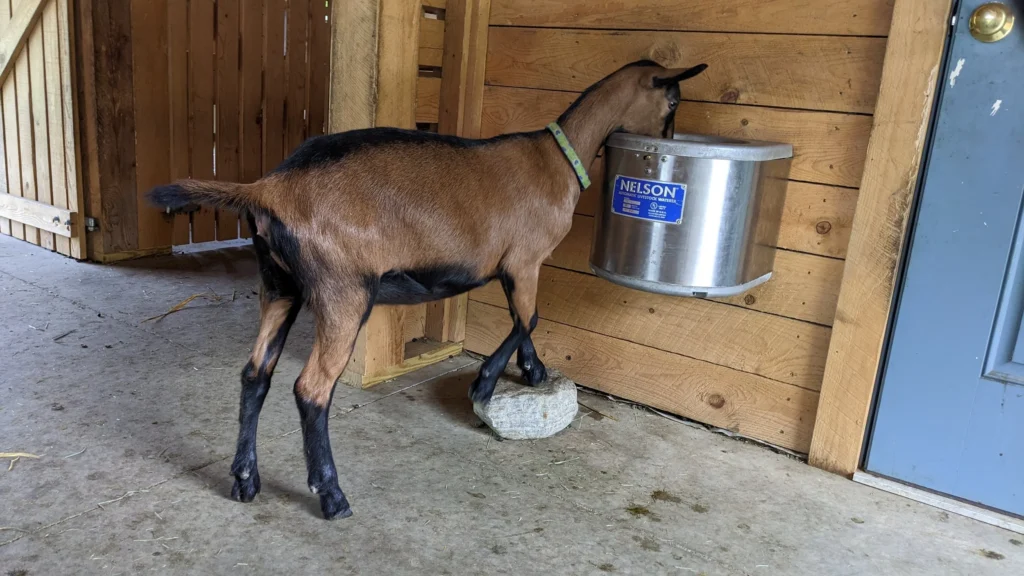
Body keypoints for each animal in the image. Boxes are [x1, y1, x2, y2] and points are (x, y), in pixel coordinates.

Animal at [147, 60, 708, 520]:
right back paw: (331, 495)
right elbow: (529, 317)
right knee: (311, 389)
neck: (556, 158)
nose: (670, 139)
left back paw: (245, 480)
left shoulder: (515, 268)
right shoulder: (524, 261)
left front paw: (532, 371)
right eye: (673, 100)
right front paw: (484, 385)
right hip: (343, 291)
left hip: (279, 287)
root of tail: (270, 188)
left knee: (254, 375)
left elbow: (522, 320)